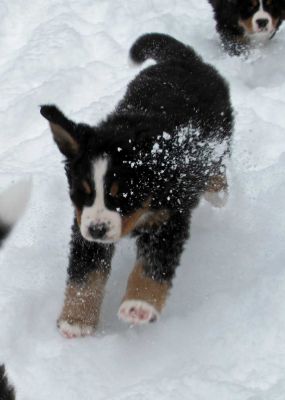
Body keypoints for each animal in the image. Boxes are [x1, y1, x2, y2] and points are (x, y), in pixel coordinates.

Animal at [40, 32, 233, 338]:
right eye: (81, 193)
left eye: (123, 196)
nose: (97, 230)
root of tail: (186, 59)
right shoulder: (84, 222)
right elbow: (86, 273)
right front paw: (76, 319)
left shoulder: (169, 218)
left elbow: (152, 268)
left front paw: (139, 306)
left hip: (220, 135)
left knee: (217, 165)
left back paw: (217, 191)